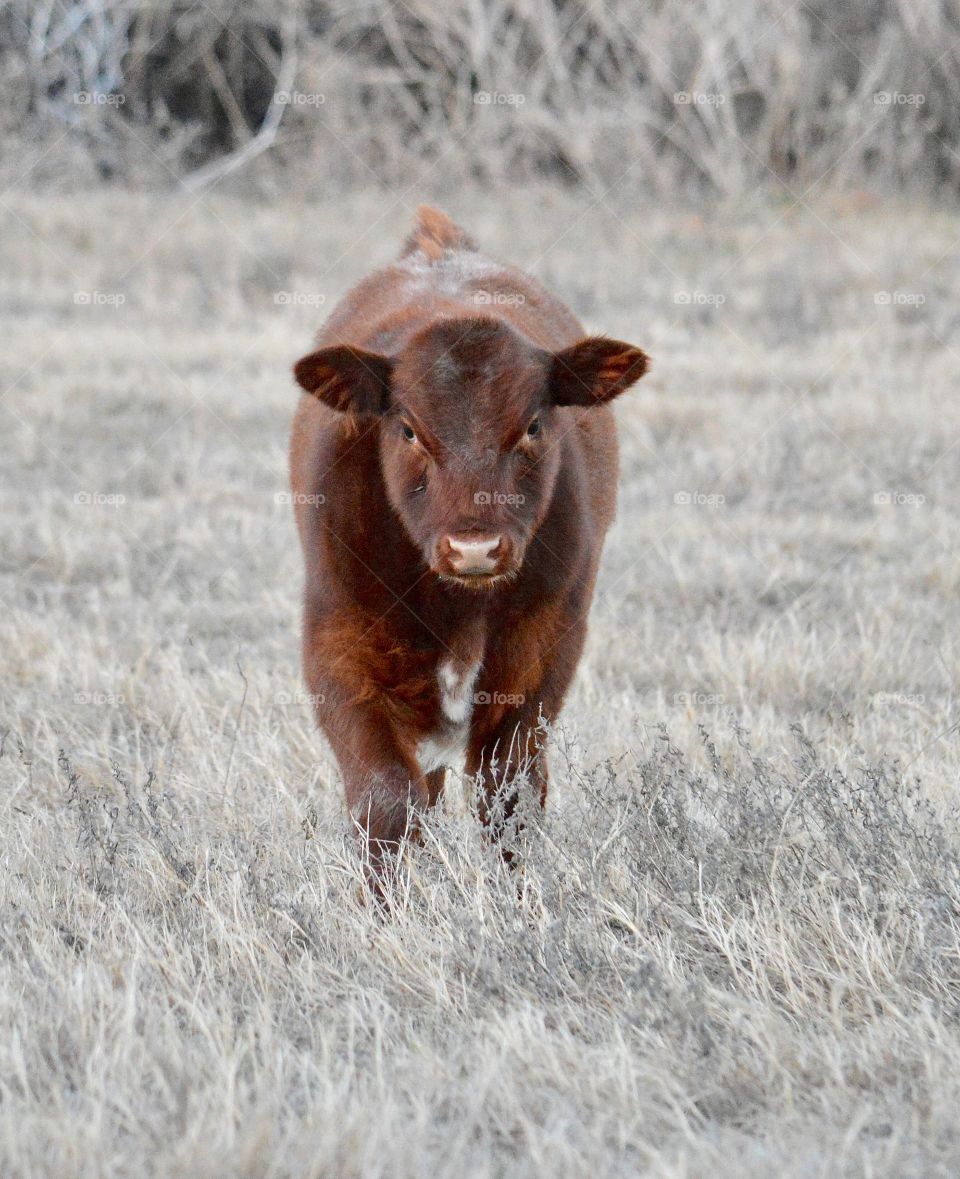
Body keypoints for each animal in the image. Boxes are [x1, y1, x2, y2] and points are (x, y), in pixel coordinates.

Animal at [288, 209, 651, 877]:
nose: (475, 549)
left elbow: (509, 797)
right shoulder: (339, 650)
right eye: (408, 429)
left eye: (532, 426)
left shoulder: (542, 660)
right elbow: (386, 800)